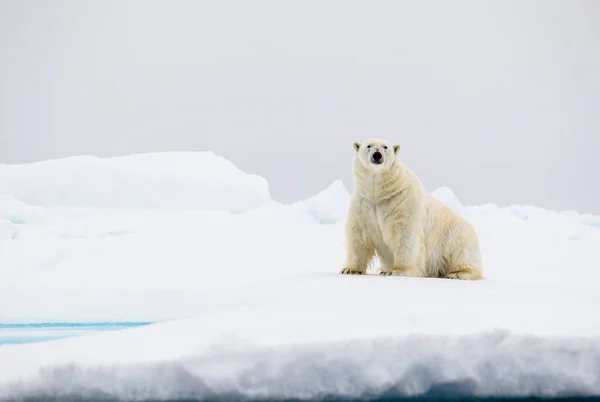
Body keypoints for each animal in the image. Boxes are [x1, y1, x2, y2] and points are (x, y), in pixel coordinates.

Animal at [342, 138, 482, 280]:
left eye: (385, 147)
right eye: (369, 146)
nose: (377, 155)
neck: (379, 192)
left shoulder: (402, 201)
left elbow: (405, 234)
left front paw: (399, 270)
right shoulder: (364, 203)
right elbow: (359, 234)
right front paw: (351, 269)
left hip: (454, 234)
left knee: (460, 251)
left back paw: (457, 273)